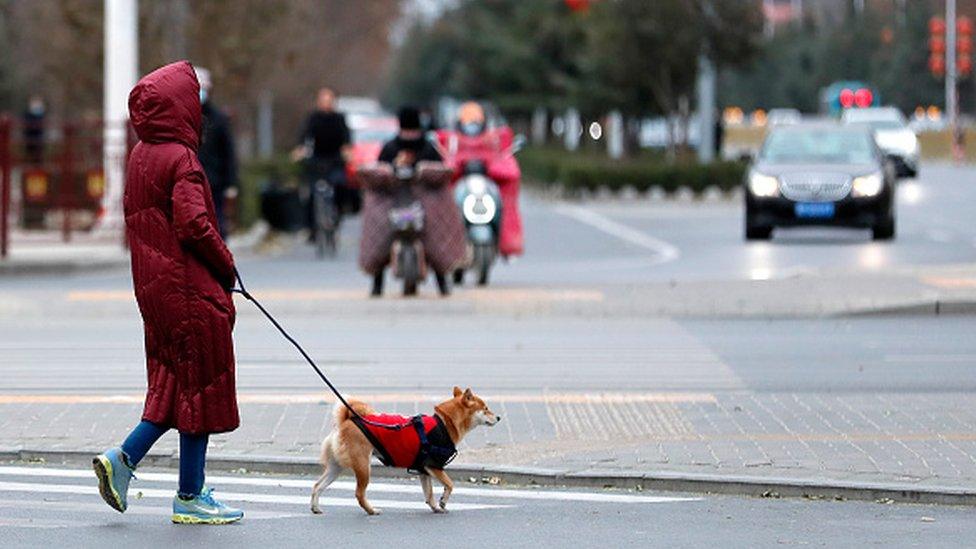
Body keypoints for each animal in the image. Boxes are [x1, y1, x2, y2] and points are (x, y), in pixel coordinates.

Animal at [310, 386, 500, 512]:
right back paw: (372, 510)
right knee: (359, 494)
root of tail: (346, 421)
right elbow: (450, 484)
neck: (444, 423)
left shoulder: (424, 470)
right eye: (485, 409)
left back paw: (316, 508)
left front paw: (435, 507)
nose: (498, 417)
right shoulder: (435, 466)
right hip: (363, 466)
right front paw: (443, 502)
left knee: (317, 485)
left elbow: (429, 493)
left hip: (336, 467)